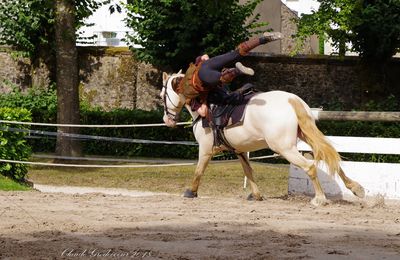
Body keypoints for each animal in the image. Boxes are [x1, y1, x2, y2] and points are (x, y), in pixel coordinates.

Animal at [161, 72, 364, 206]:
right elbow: (249, 171)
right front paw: (256, 195)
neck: (207, 107)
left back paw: (320, 199)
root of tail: (291, 100)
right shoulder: (240, 151)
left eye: (162, 95)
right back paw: (355, 188)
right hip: (305, 136)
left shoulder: (205, 150)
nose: (167, 120)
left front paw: (191, 192)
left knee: (310, 167)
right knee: (330, 158)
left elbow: (198, 171)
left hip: (285, 148)